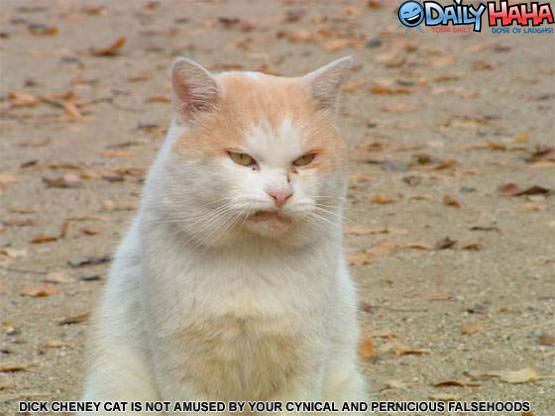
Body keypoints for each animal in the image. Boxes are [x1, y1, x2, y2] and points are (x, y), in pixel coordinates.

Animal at [80, 56, 368, 414]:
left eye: (304, 160)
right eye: (242, 158)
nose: (281, 194)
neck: (249, 256)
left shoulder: (304, 364)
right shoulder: (180, 366)